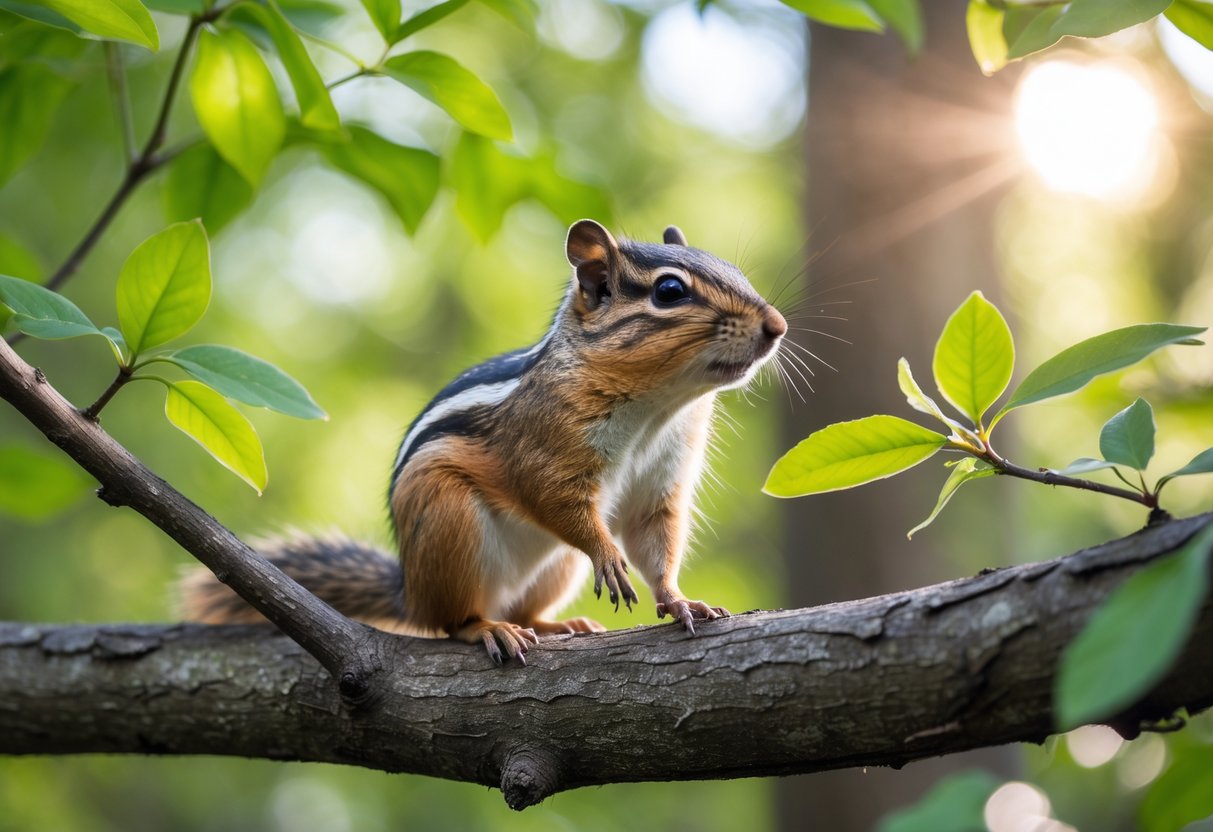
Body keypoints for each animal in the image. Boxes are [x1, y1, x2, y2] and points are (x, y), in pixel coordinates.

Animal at [181, 220, 787, 664]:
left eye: (735, 270)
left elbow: (655, 539)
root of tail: (409, 589)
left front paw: (680, 600)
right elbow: (551, 497)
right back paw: (486, 630)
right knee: (452, 621)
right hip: (448, 520)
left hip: (553, 568)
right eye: (669, 290)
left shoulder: (662, 479)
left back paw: (555, 622)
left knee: (522, 609)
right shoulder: (544, 444)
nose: (777, 326)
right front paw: (608, 556)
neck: (659, 407)